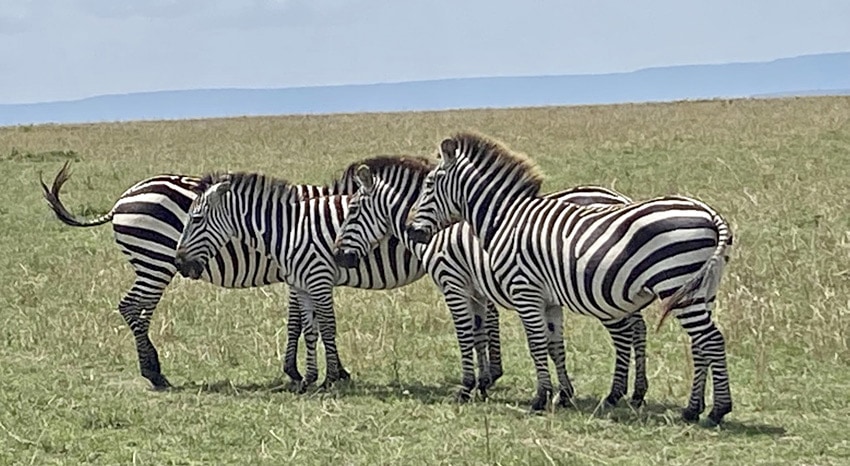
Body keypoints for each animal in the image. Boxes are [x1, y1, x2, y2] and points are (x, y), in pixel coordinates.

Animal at [40, 160, 426, 390]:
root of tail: (123, 198)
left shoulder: (298, 274)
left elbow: (299, 321)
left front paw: (298, 371)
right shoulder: (303, 272)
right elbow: (305, 322)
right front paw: (313, 373)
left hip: (152, 264)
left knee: (139, 311)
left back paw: (152, 368)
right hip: (157, 261)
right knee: (132, 307)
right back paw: (155, 373)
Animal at [332, 159, 649, 406]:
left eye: (353, 211)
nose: (338, 256)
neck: (435, 231)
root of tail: (620, 198)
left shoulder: (454, 283)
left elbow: (466, 335)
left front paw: (469, 386)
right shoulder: (477, 291)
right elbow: (480, 333)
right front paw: (484, 383)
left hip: (599, 293)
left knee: (624, 333)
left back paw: (616, 394)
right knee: (638, 327)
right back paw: (636, 393)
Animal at [406, 132, 734, 424]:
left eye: (429, 184)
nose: (411, 230)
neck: (506, 220)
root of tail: (709, 213)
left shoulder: (523, 291)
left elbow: (535, 344)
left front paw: (538, 398)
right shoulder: (548, 300)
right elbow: (553, 345)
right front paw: (561, 394)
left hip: (677, 283)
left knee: (711, 340)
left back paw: (717, 411)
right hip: (700, 290)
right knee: (699, 344)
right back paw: (691, 410)